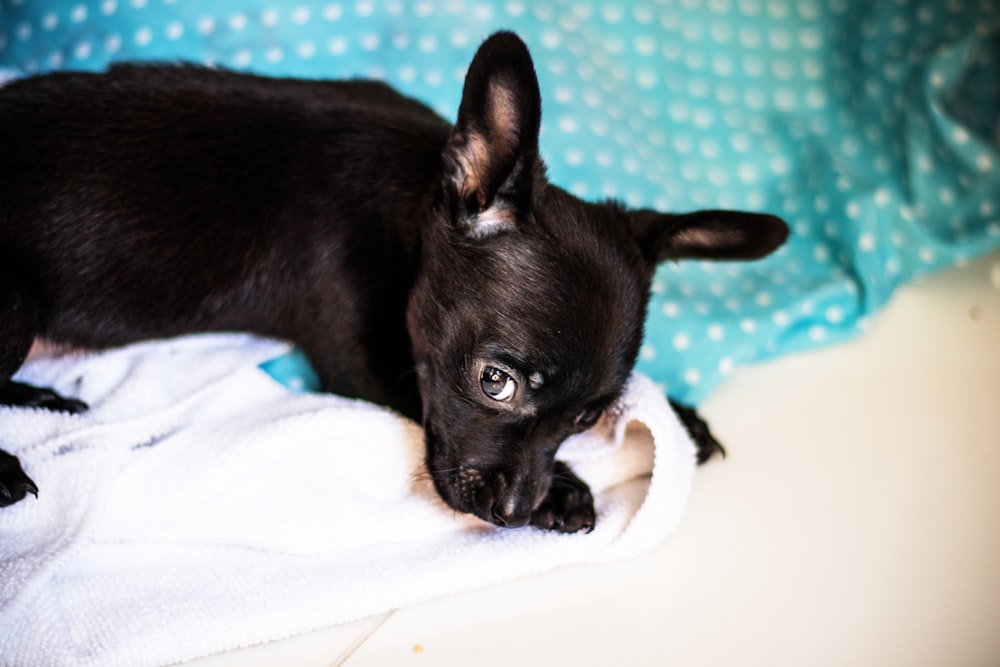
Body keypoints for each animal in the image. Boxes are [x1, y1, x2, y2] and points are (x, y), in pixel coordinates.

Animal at [0, 32, 788, 532]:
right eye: (495, 382)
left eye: (590, 418)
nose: (515, 513)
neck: (416, 201)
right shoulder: (362, 361)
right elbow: (418, 393)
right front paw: (566, 490)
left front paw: (677, 414)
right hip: (14, 307)